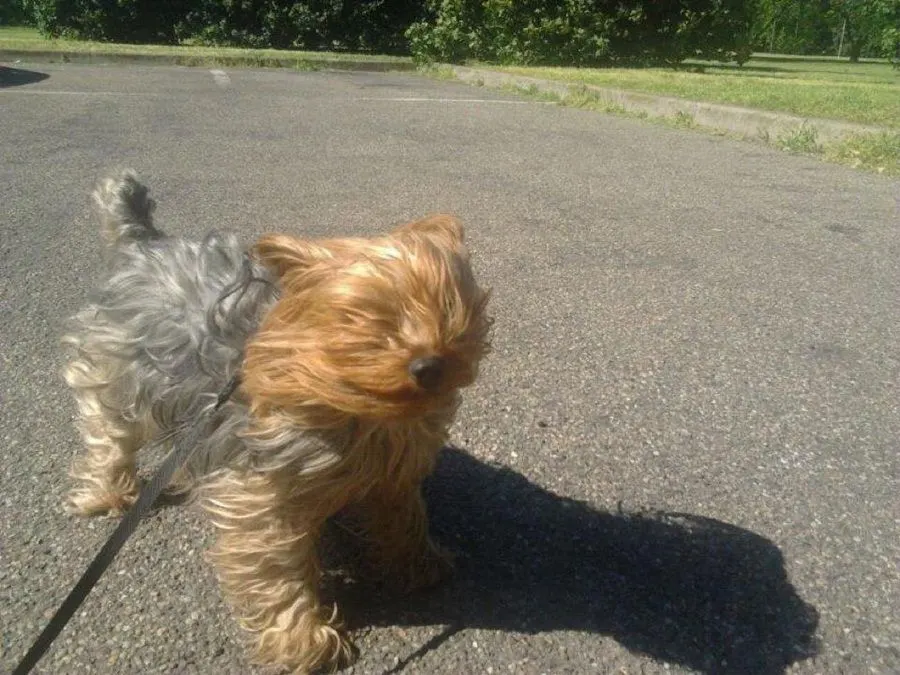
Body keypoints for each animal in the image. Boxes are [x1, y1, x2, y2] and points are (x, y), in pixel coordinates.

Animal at [62, 170, 491, 673]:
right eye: (368, 322)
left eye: (449, 309)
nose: (430, 366)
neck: (360, 409)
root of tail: (143, 244)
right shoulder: (261, 489)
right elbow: (274, 564)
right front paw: (305, 642)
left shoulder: (394, 468)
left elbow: (403, 512)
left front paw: (420, 566)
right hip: (117, 370)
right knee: (108, 431)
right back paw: (107, 493)